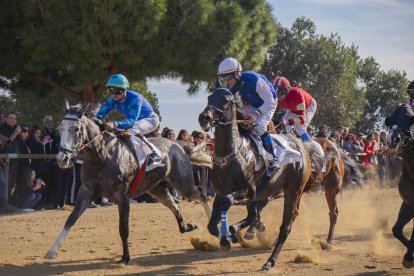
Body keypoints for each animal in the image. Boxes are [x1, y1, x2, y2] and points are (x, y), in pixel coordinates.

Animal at [46, 100, 210, 264]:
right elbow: (71, 219)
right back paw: (187, 227)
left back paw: (213, 226)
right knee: (175, 204)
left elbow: (123, 229)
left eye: (76, 128)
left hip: (183, 184)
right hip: (157, 189)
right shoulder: (87, 190)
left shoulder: (122, 196)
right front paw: (52, 251)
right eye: (60, 128)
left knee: (201, 194)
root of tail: (177, 144)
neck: (101, 156)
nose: (62, 158)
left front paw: (125, 257)